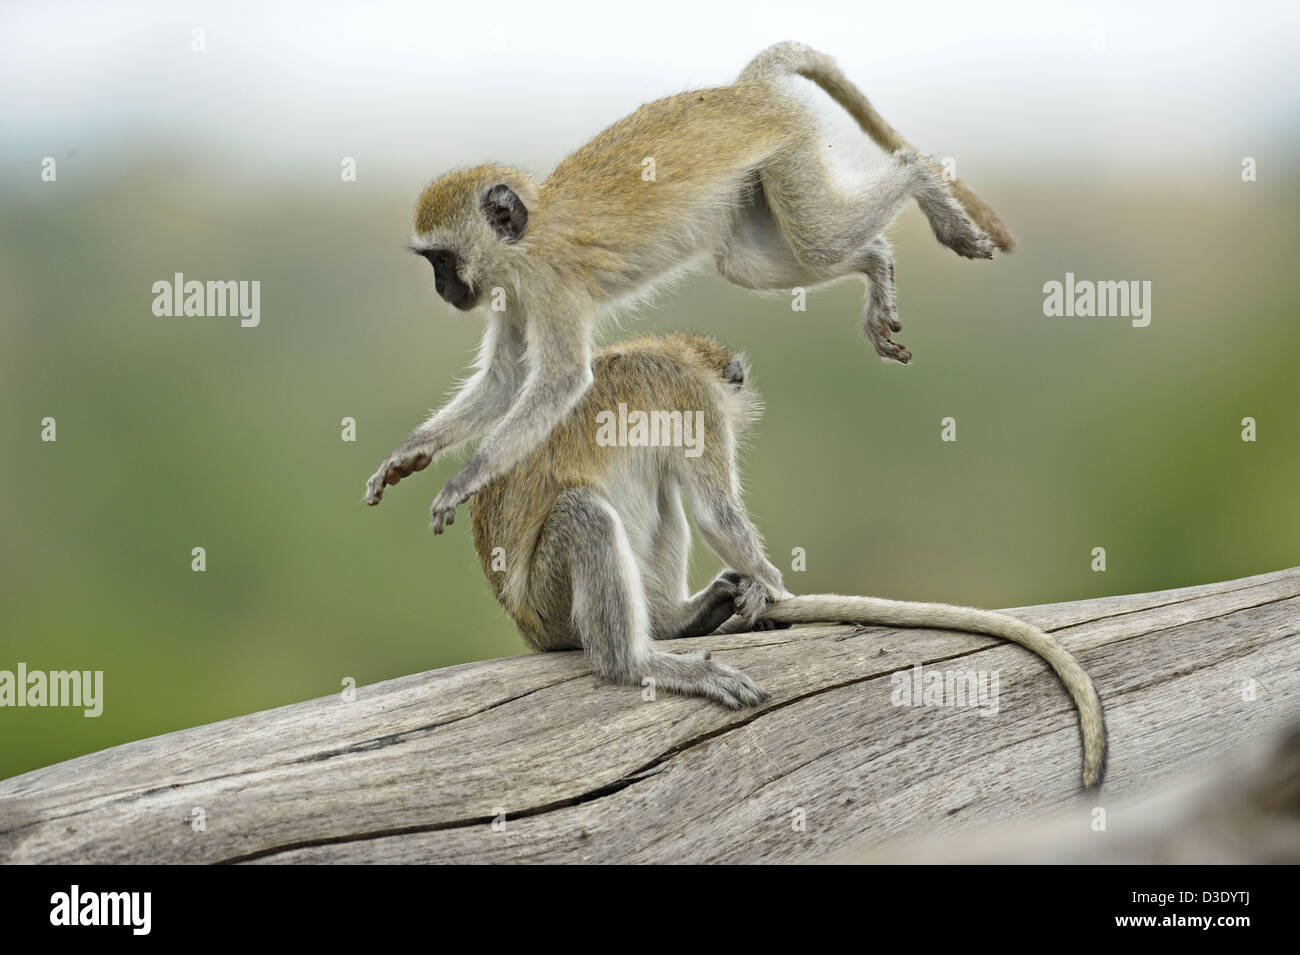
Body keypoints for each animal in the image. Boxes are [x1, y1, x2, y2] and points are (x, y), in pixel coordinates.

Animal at [366, 41, 1013, 537]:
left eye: (443, 260)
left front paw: (463, 479)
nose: (443, 289)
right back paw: (877, 262)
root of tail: (746, 92)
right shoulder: (513, 294)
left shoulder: (550, 285)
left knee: (820, 237)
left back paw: (921, 178)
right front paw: (409, 453)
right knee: (757, 263)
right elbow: (504, 381)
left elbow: (560, 382)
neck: (527, 240)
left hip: (790, 148)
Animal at [462, 335, 1102, 789]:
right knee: (588, 515)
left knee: (658, 492)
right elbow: (716, 514)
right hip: (551, 600)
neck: (670, 352)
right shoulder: (696, 404)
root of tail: (526, 625)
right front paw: (775, 589)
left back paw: (677, 620)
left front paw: (758, 593)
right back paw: (641, 660)